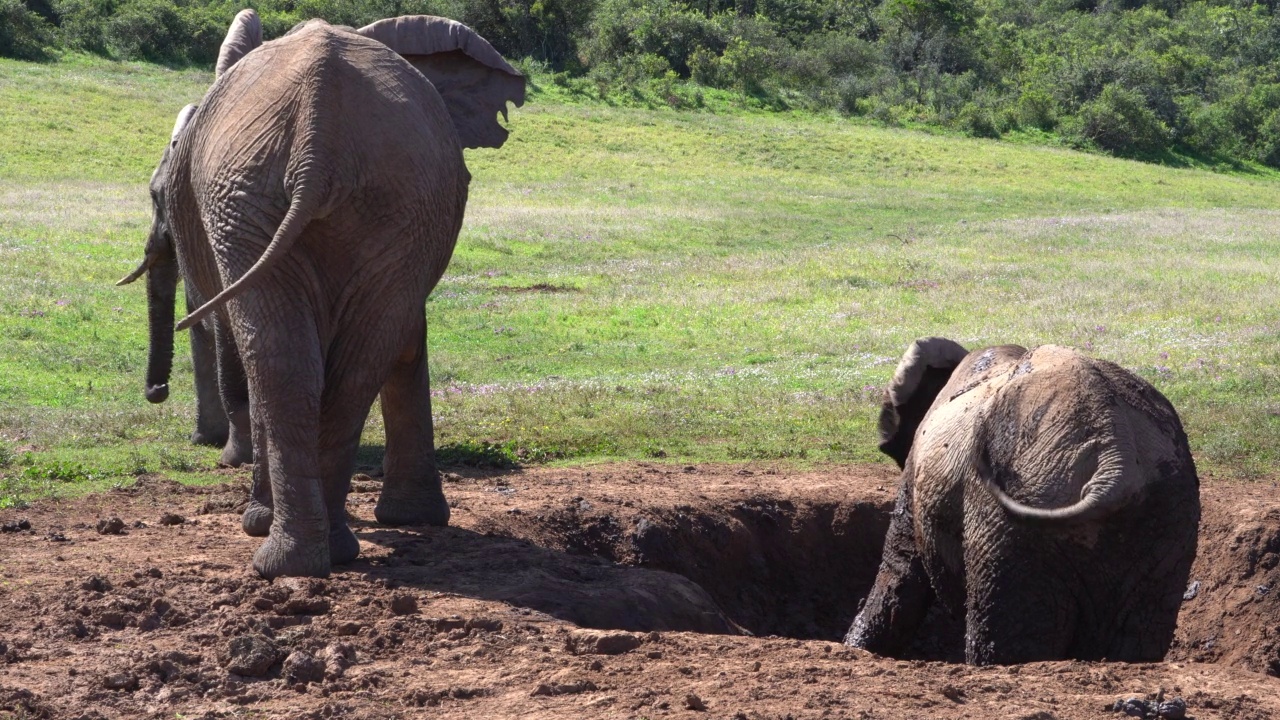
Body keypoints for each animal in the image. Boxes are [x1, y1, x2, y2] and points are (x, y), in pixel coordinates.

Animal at [116, 8, 524, 573]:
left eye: (156, 197)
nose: (155, 394)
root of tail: (319, 126)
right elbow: (405, 340)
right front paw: (413, 520)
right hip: (376, 194)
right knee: (348, 362)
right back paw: (318, 552)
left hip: (248, 200)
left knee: (273, 355)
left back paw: (275, 540)